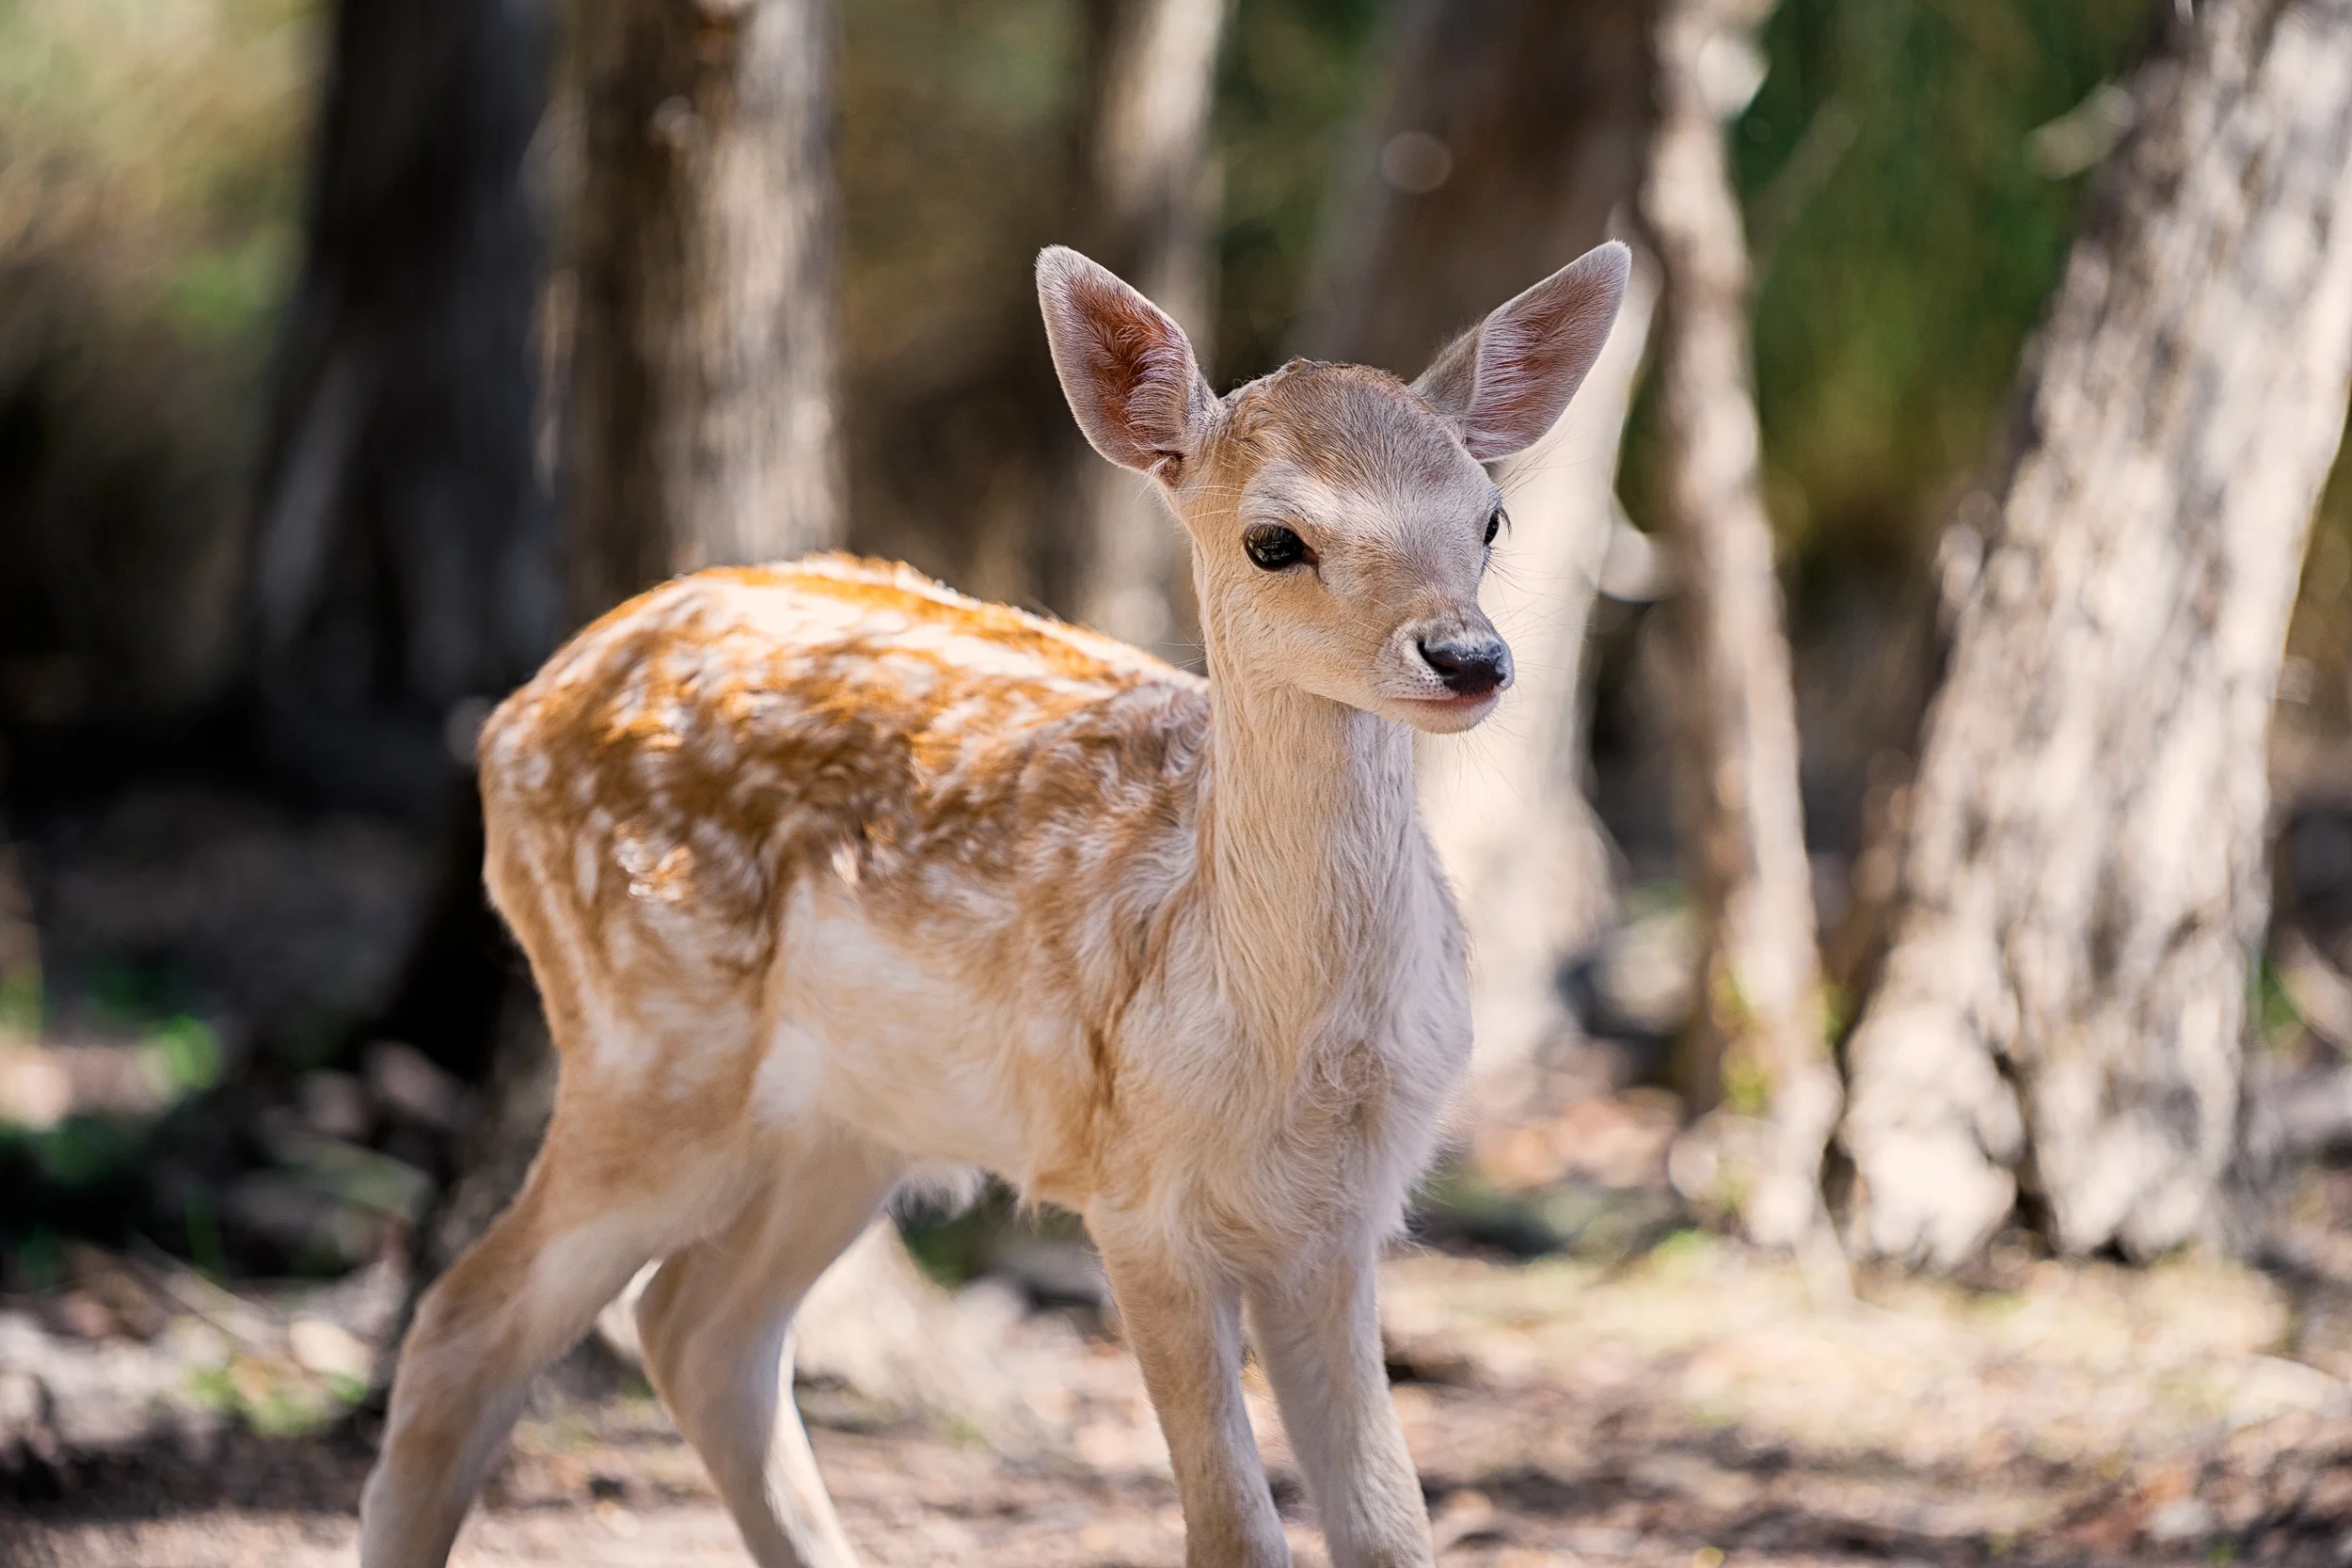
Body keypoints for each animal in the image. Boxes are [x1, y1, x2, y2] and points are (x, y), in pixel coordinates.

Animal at [358, 238, 1628, 1568]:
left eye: (1487, 519)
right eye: (1274, 539)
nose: (1469, 657)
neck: (1279, 1031)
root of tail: (509, 720)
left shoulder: (1343, 1213)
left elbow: (1392, 1528)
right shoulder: (1136, 1190)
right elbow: (1234, 1528)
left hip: (847, 1119)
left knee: (700, 1332)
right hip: (645, 1048)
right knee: (465, 1320)